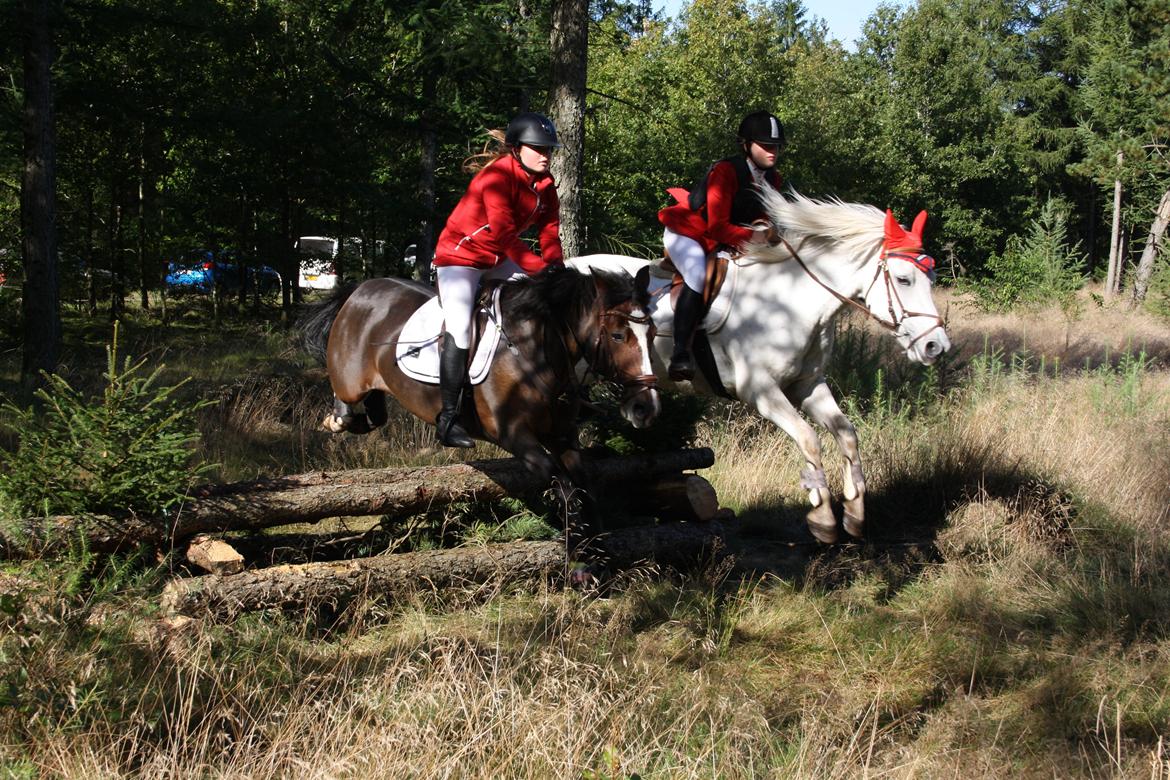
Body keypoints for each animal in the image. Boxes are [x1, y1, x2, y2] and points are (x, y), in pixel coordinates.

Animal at [301, 265, 664, 491]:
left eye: (653, 334)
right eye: (617, 335)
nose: (646, 409)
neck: (536, 353)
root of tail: (360, 289)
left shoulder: (562, 436)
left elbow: (584, 486)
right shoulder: (514, 436)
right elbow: (563, 487)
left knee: (375, 415)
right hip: (350, 380)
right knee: (346, 399)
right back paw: (338, 419)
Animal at [570, 189, 954, 542]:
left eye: (932, 278)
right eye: (904, 279)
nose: (936, 346)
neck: (795, 302)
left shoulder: (808, 384)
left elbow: (846, 433)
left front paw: (855, 511)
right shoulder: (762, 392)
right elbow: (809, 439)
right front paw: (822, 518)